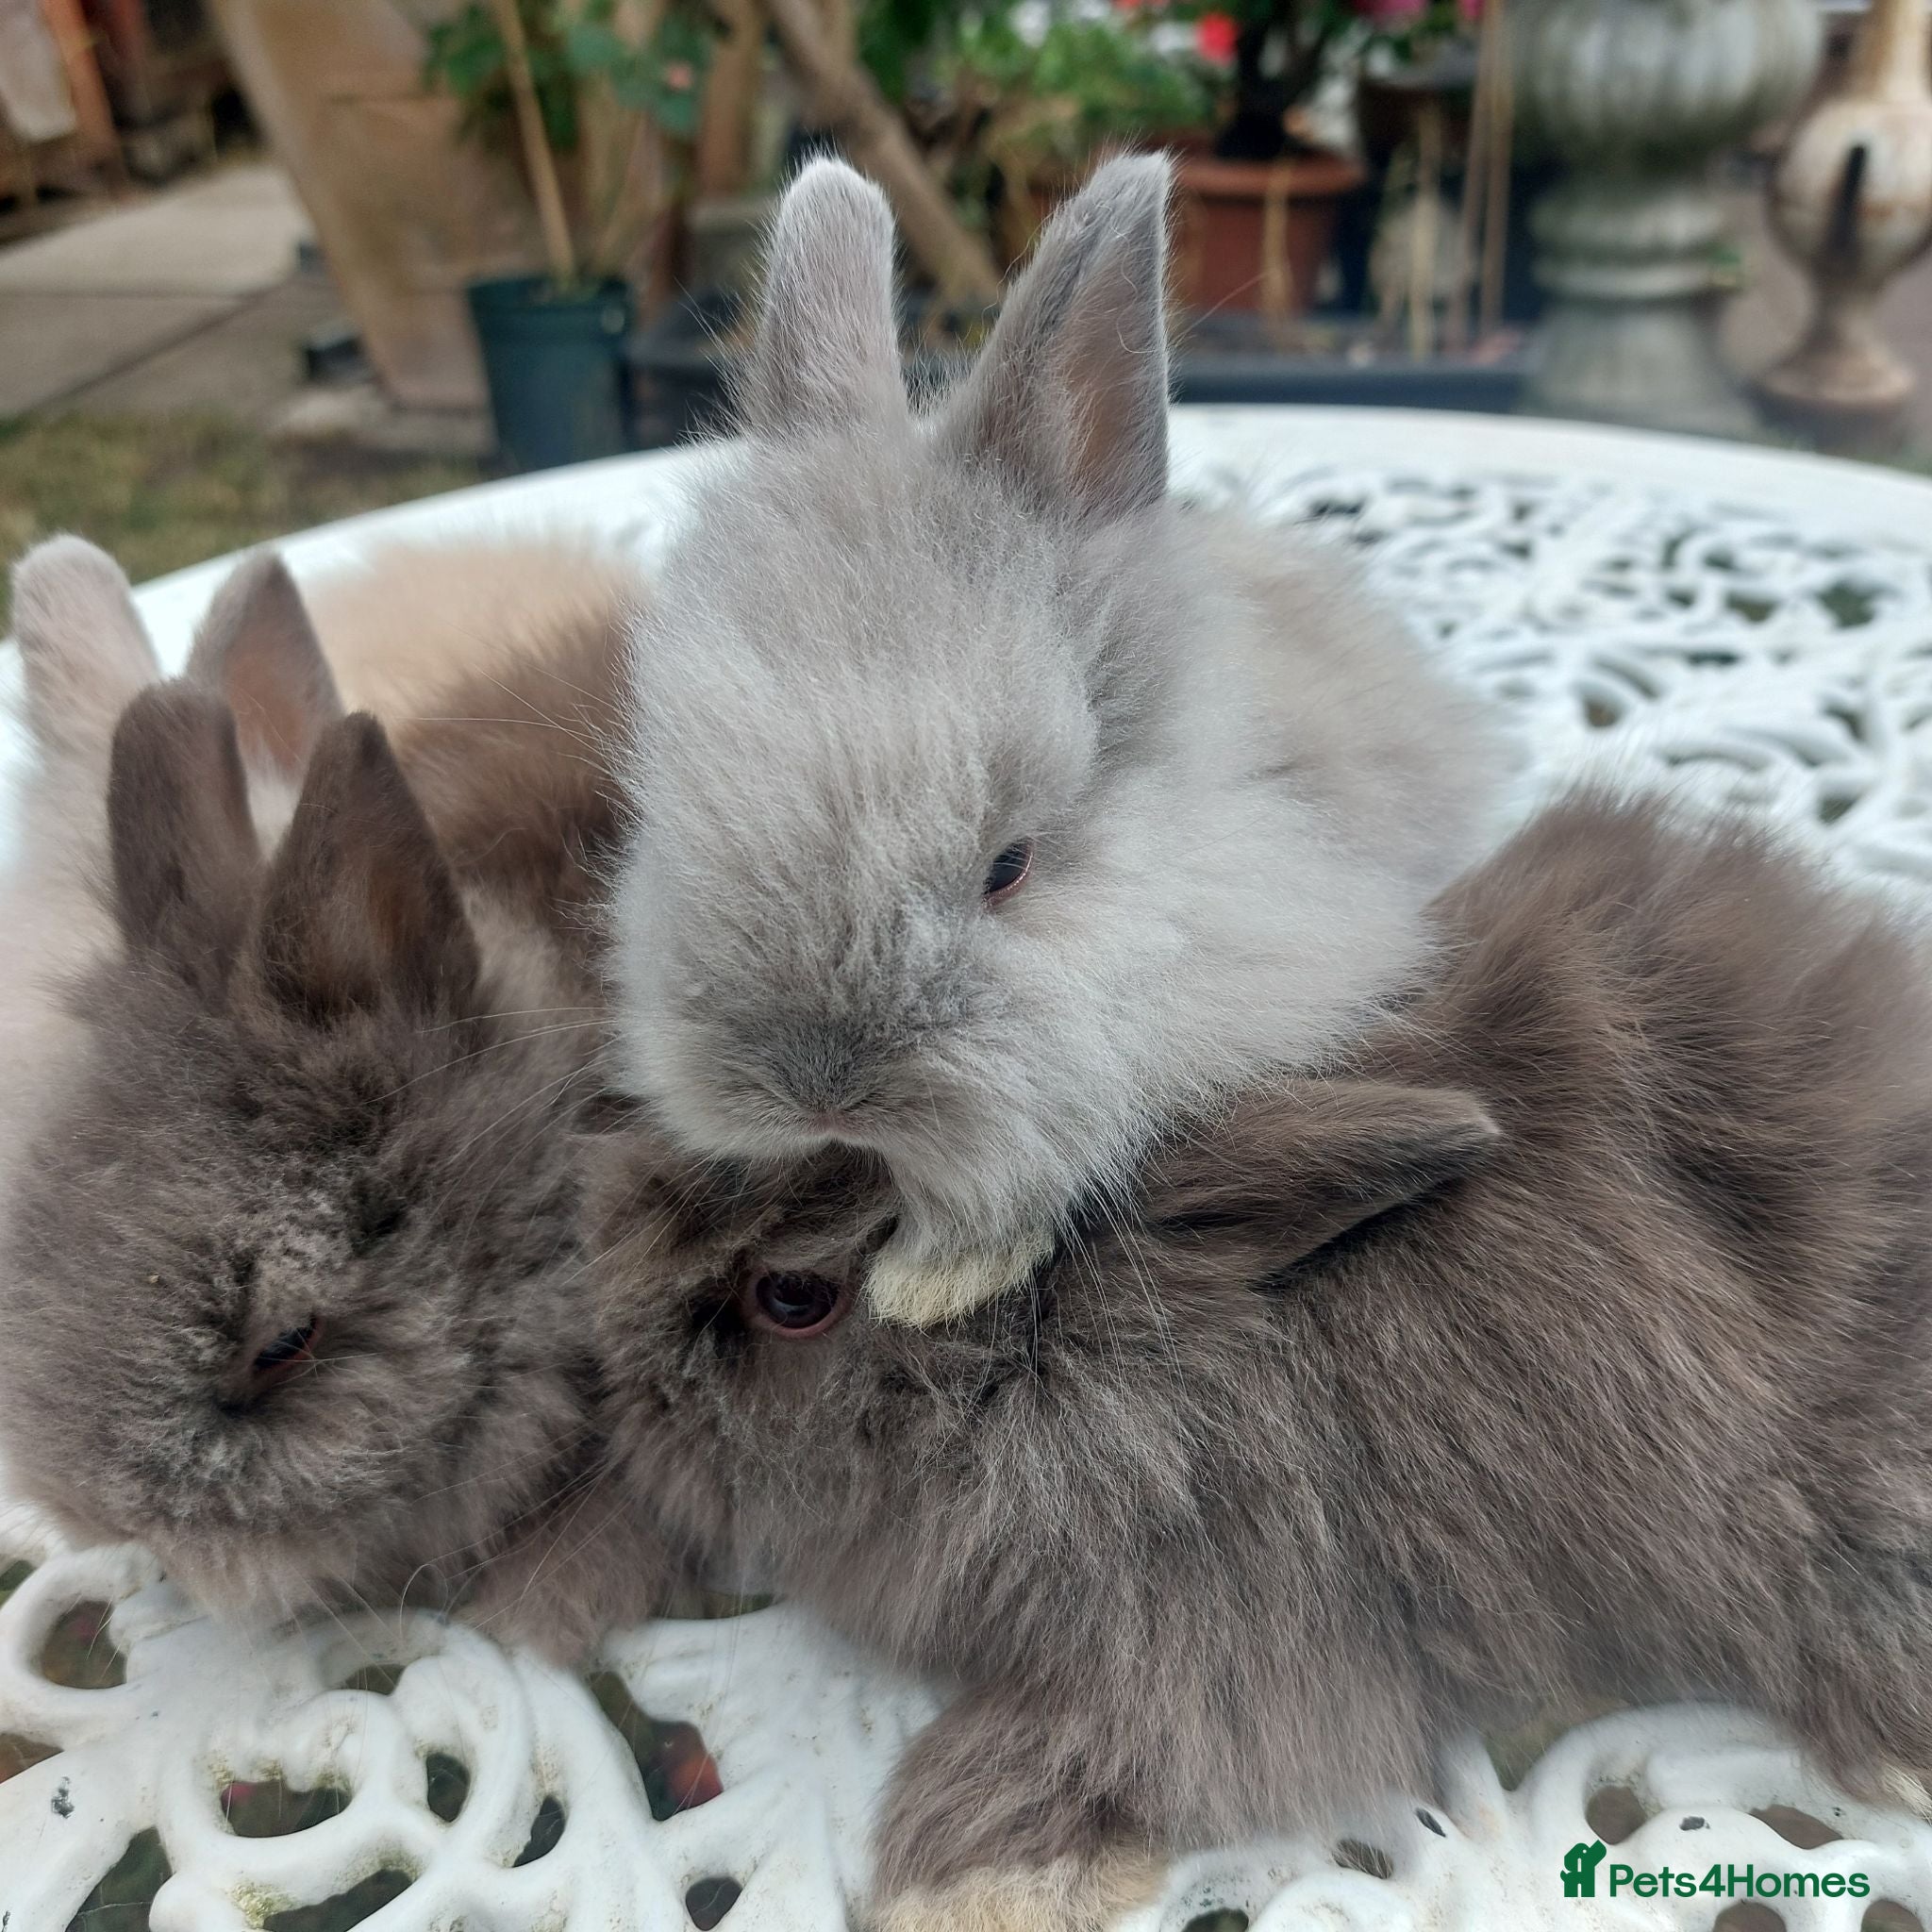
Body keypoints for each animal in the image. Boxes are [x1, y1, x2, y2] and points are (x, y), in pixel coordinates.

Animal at [572, 791, 1932, 1932]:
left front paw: (955, 1887)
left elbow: (1078, 1752)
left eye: (792, 1296)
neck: (1122, 1372)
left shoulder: (1230, 1645)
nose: (625, 1400)